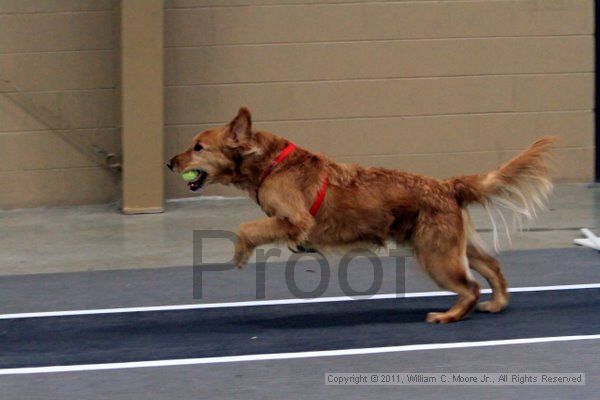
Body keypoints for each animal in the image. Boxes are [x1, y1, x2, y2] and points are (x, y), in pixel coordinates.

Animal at [166, 106, 556, 322]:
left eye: (198, 147)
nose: (169, 163)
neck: (271, 163)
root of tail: (446, 185)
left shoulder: (294, 220)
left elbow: (246, 227)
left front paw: (240, 254)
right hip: (453, 247)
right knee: (493, 267)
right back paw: (498, 303)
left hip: (437, 256)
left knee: (471, 287)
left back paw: (448, 316)